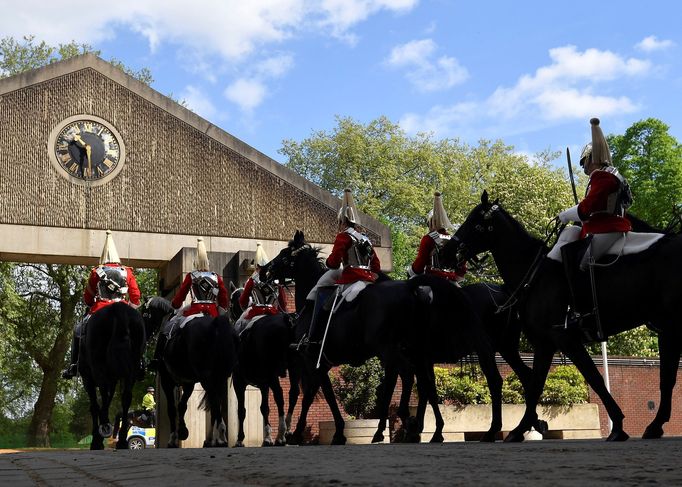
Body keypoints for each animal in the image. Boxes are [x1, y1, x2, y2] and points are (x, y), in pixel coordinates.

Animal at [78, 304, 150, 452]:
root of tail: (118, 307)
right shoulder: (114, 378)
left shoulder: (88, 377)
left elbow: (95, 406)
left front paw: (97, 437)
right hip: (132, 368)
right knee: (126, 398)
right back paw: (121, 439)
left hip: (98, 367)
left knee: (104, 396)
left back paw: (102, 433)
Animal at [141, 298, 236, 446]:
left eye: (144, 313)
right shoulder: (188, 383)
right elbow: (182, 406)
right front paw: (183, 431)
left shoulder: (167, 381)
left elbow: (171, 409)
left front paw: (173, 438)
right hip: (220, 377)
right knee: (216, 401)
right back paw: (216, 437)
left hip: (207, 378)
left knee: (214, 402)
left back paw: (218, 437)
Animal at [227, 286, 298, 450]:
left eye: (230, 302)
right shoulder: (264, 384)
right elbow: (264, 408)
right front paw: (267, 437)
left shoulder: (239, 382)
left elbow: (241, 410)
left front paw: (240, 439)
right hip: (294, 368)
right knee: (293, 393)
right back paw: (287, 429)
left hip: (273, 374)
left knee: (279, 396)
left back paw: (281, 435)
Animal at [264, 231, 500, 444]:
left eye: (284, 254)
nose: (264, 271)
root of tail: (409, 288)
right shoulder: (323, 364)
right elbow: (321, 395)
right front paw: (336, 432)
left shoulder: (315, 362)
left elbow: (316, 397)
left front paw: (303, 433)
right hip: (409, 350)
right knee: (419, 381)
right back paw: (418, 428)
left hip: (389, 349)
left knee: (406, 375)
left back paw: (402, 424)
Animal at [444, 192, 680, 442]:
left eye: (476, 223)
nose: (445, 252)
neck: (534, 273)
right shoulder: (545, 343)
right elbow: (536, 385)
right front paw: (521, 428)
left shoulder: (565, 338)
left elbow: (594, 378)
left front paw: (617, 425)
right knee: (667, 376)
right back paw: (655, 425)